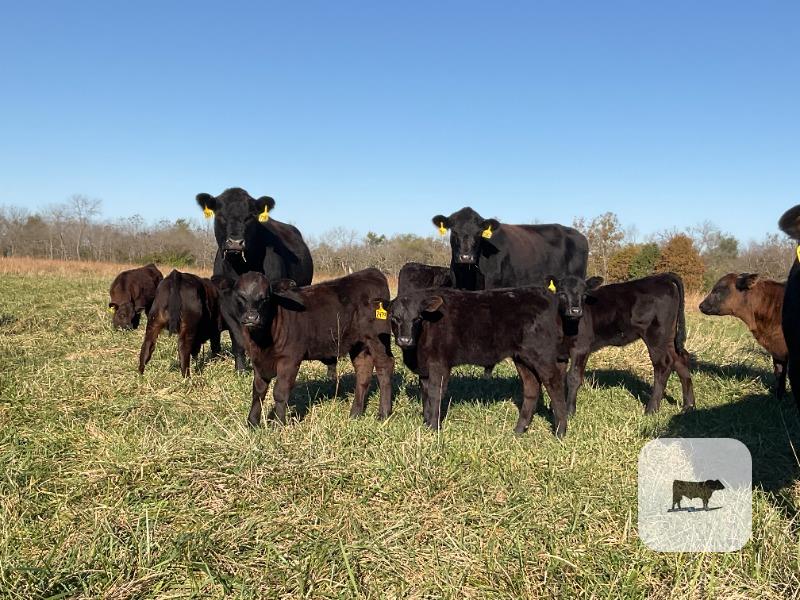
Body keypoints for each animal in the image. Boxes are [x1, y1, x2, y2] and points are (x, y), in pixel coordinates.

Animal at [196, 187, 314, 371]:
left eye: (250, 216)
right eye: (220, 215)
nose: (235, 242)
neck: (242, 267)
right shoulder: (228, 305)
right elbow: (238, 340)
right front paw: (241, 369)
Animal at [235, 268, 394, 427]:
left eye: (265, 298)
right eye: (240, 296)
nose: (251, 317)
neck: (262, 341)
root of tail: (371, 272)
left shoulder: (290, 359)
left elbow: (280, 392)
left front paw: (279, 423)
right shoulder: (257, 361)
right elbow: (258, 391)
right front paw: (252, 422)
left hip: (378, 339)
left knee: (384, 367)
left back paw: (384, 413)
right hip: (358, 344)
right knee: (363, 371)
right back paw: (355, 414)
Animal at [389, 286, 570, 437]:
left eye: (417, 318)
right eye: (394, 318)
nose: (405, 340)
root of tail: (547, 294)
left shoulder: (439, 365)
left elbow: (435, 394)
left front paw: (434, 428)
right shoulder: (424, 370)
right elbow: (425, 394)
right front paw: (426, 424)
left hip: (542, 356)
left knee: (555, 385)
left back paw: (560, 432)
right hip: (522, 358)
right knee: (532, 388)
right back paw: (519, 431)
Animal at [562, 273, 695, 416]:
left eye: (584, 294)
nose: (575, 311)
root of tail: (661, 277)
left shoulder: (580, 347)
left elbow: (573, 377)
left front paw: (568, 412)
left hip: (656, 335)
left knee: (663, 365)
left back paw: (651, 409)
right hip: (668, 336)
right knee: (680, 359)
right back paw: (688, 406)